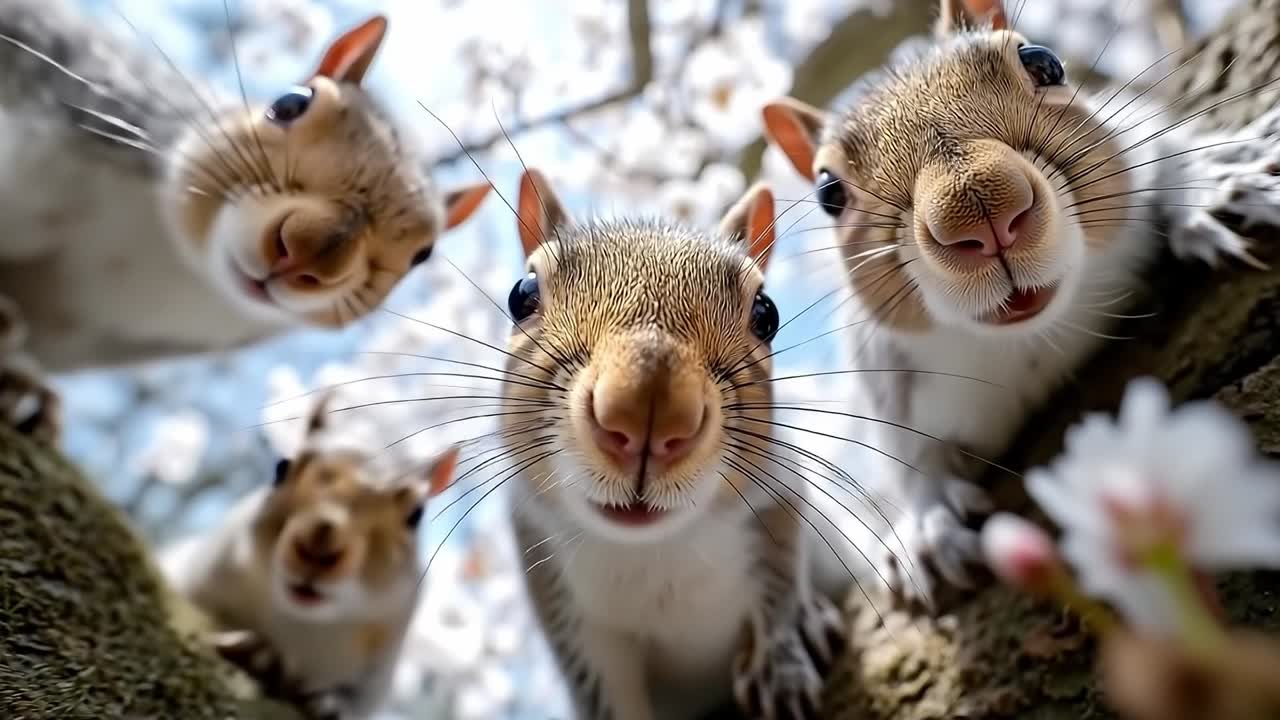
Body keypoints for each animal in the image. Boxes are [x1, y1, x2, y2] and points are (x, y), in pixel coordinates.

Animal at [158, 392, 460, 720]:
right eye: (281, 467)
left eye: (415, 515)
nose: (318, 546)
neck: (299, 623)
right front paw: (254, 651)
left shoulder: (376, 674)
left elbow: (347, 698)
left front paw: (330, 701)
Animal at [498, 168, 846, 720]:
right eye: (521, 294)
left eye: (766, 313)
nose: (647, 411)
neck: (655, 551)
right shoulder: (554, 585)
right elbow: (600, 693)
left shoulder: (778, 490)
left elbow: (781, 579)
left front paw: (785, 656)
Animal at [759, 0, 1280, 607]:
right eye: (827, 192)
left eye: (1044, 62)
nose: (982, 209)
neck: (1033, 341)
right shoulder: (887, 374)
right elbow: (906, 453)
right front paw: (927, 521)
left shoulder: (1137, 138)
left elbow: (1164, 145)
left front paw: (1212, 185)